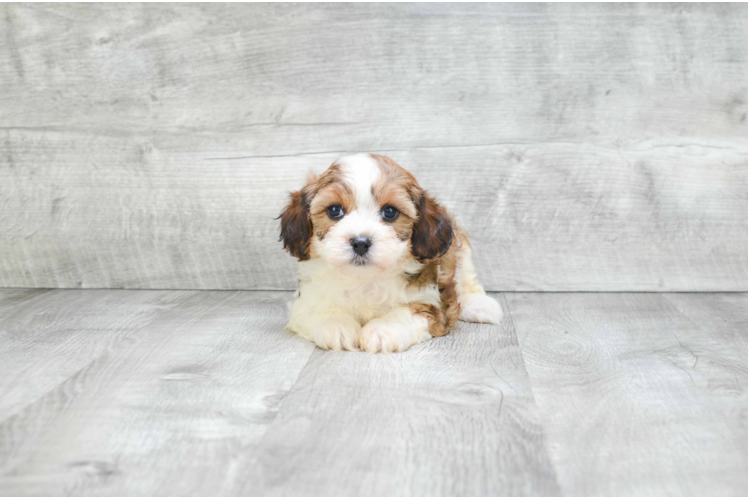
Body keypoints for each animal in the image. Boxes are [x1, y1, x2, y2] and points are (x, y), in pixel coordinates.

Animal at [280, 154, 502, 354]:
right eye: (334, 210)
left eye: (390, 212)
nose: (360, 242)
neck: (364, 279)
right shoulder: (305, 298)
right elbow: (318, 307)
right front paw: (336, 326)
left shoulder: (431, 303)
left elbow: (406, 311)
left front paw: (382, 330)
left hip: (460, 249)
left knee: (466, 279)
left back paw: (479, 305)